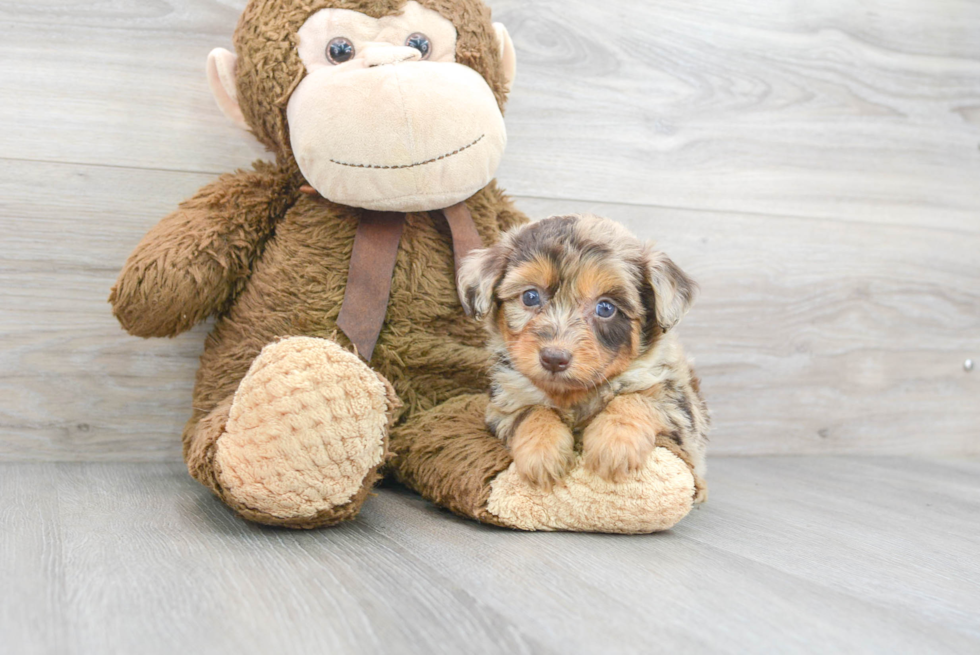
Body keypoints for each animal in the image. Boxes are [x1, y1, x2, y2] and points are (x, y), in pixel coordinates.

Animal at [456, 215, 708, 502]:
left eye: (606, 308)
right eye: (530, 296)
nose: (554, 358)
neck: (573, 394)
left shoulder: (678, 405)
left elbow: (636, 399)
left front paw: (614, 443)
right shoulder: (504, 405)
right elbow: (532, 411)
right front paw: (542, 451)